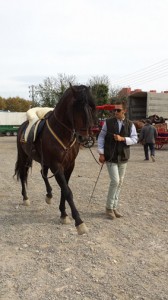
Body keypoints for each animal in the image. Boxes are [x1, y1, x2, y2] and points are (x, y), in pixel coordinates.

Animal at [14, 84, 96, 234]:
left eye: (92, 108)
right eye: (76, 108)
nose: (84, 138)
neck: (62, 132)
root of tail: (22, 126)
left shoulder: (69, 165)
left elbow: (65, 189)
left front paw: (63, 214)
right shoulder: (56, 165)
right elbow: (67, 191)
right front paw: (79, 222)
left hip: (44, 161)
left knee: (43, 174)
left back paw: (49, 195)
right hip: (24, 157)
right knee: (23, 175)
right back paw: (26, 198)